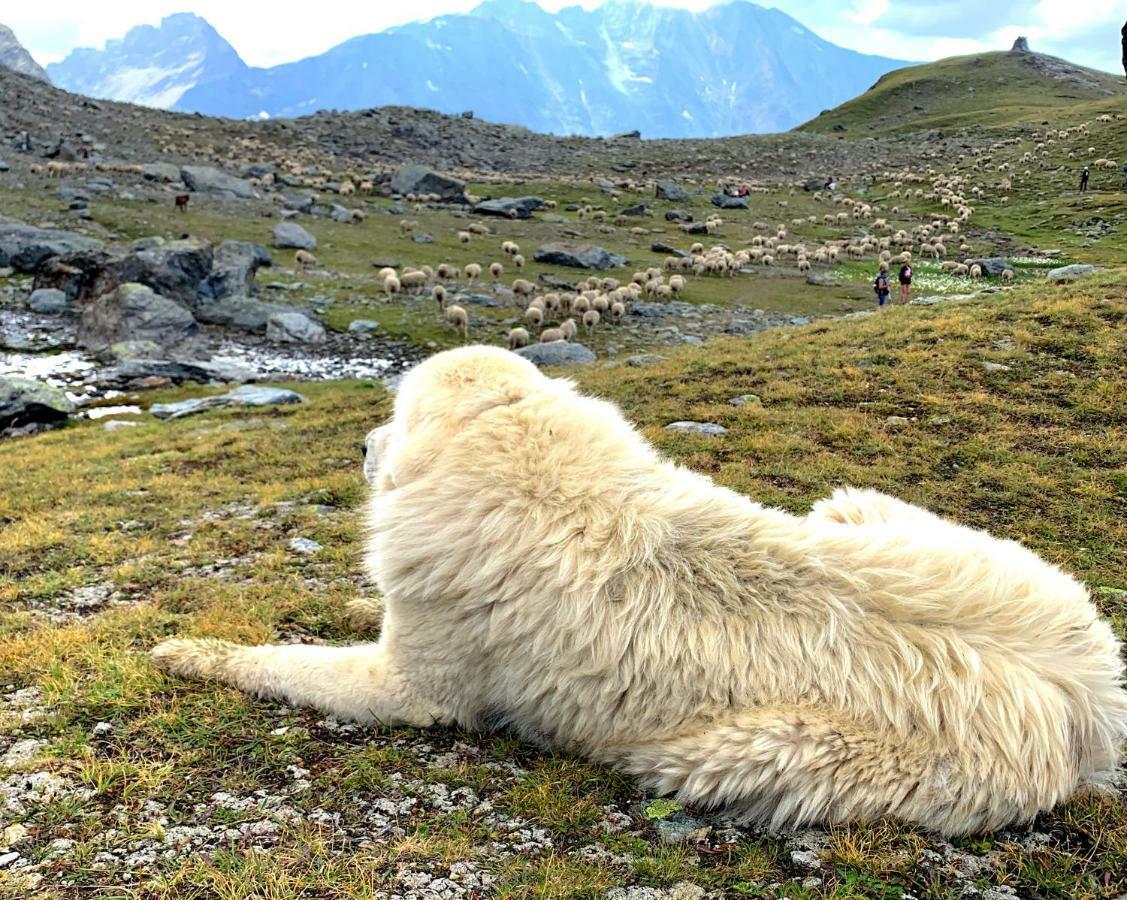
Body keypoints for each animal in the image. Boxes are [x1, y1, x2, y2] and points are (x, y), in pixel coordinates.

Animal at [152, 346, 1127, 838]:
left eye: (392, 417)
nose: (360, 447)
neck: (514, 440)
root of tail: (1089, 695)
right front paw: (353, 603)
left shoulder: (411, 691)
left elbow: (285, 663)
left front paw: (195, 652)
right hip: (865, 510)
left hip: (745, 751)